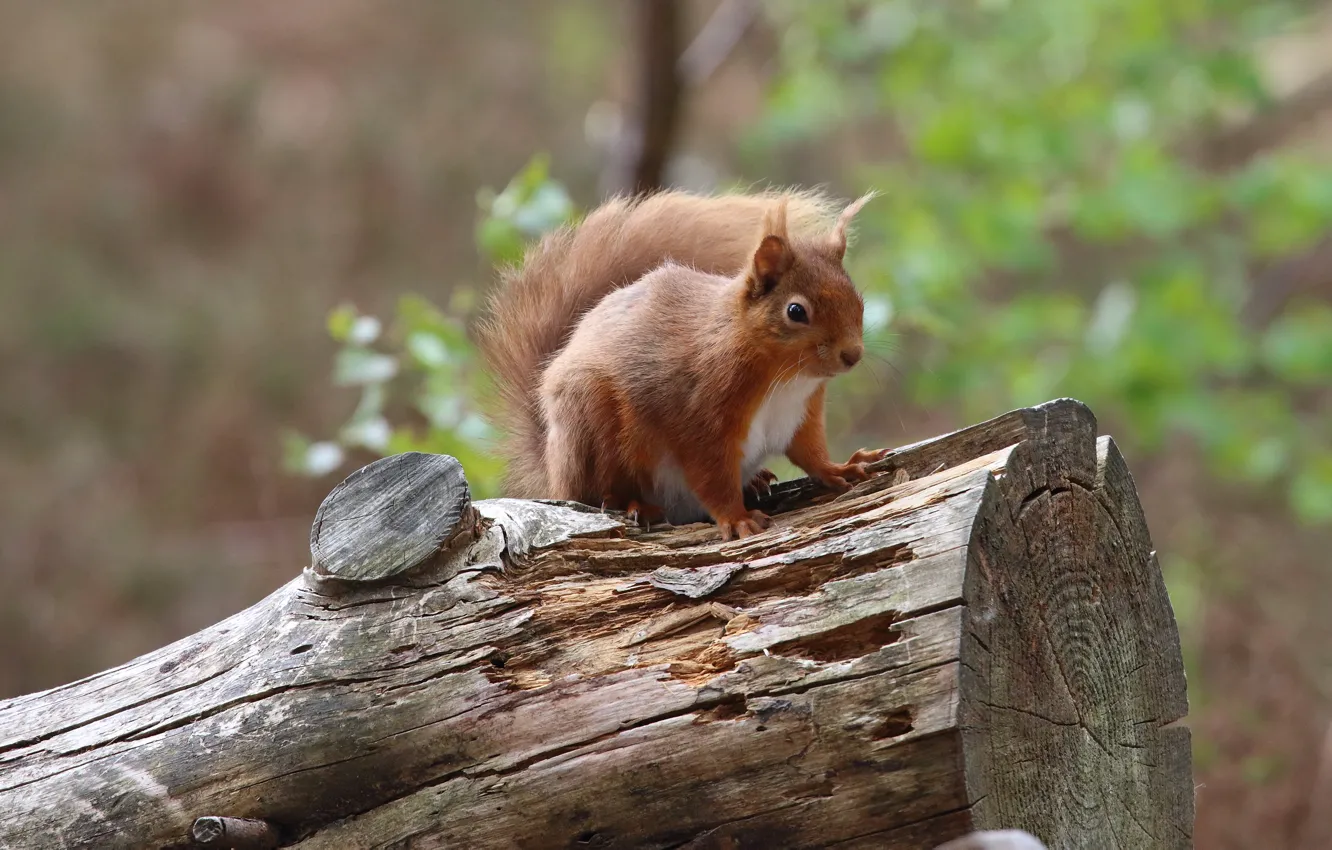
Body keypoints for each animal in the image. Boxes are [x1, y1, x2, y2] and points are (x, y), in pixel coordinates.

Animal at [476, 189, 884, 543]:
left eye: (858, 299)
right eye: (796, 311)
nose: (852, 355)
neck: (786, 380)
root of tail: (553, 466)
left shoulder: (801, 414)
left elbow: (809, 452)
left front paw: (840, 469)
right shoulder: (698, 415)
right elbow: (711, 477)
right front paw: (737, 519)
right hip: (593, 423)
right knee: (597, 493)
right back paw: (634, 504)